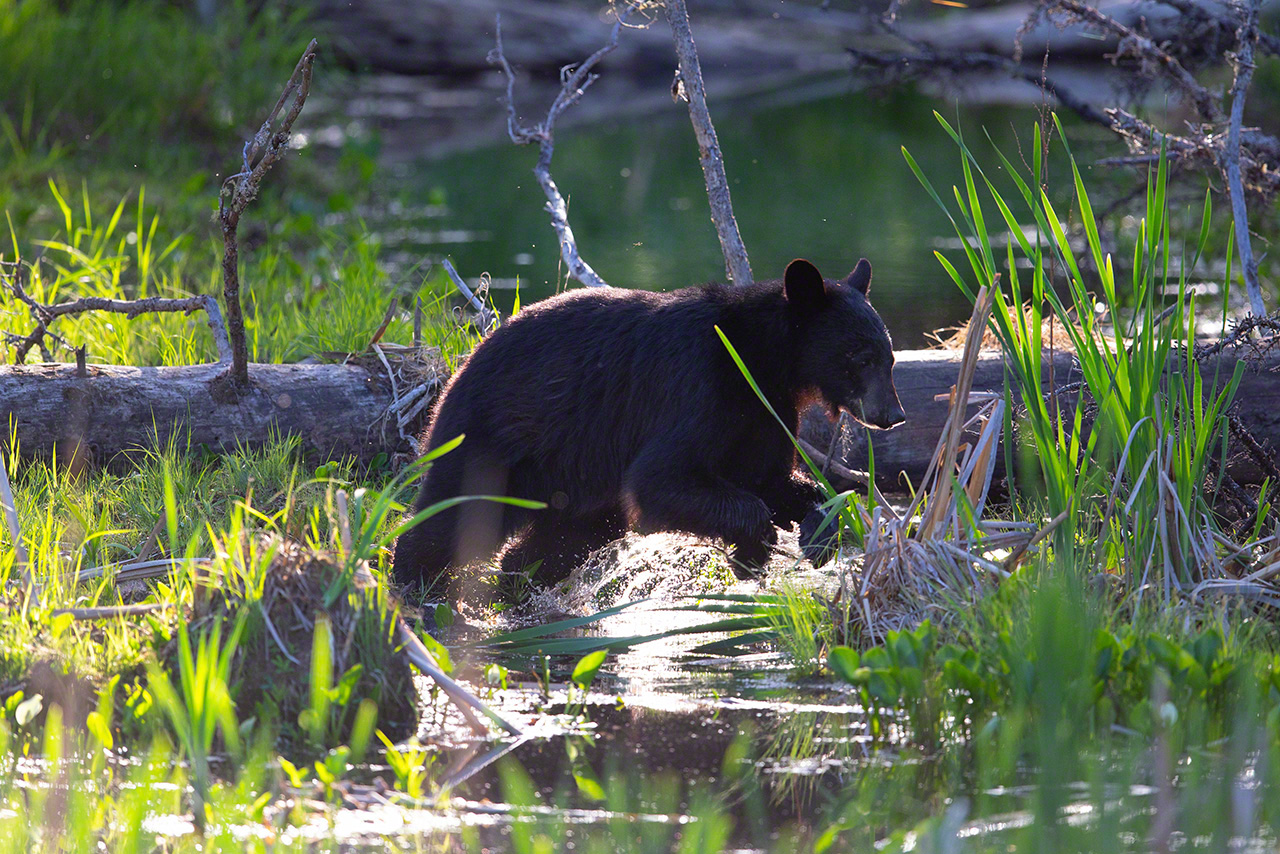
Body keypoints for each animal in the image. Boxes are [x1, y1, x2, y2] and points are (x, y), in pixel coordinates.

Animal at [392, 257, 905, 592]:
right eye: (862, 357)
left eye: (891, 358)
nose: (893, 416)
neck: (760, 358)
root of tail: (459, 365)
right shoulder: (697, 387)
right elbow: (659, 478)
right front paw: (753, 547)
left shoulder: (765, 413)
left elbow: (770, 478)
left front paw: (820, 530)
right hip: (492, 439)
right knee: (452, 514)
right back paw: (414, 585)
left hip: (577, 483)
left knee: (561, 539)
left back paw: (518, 583)